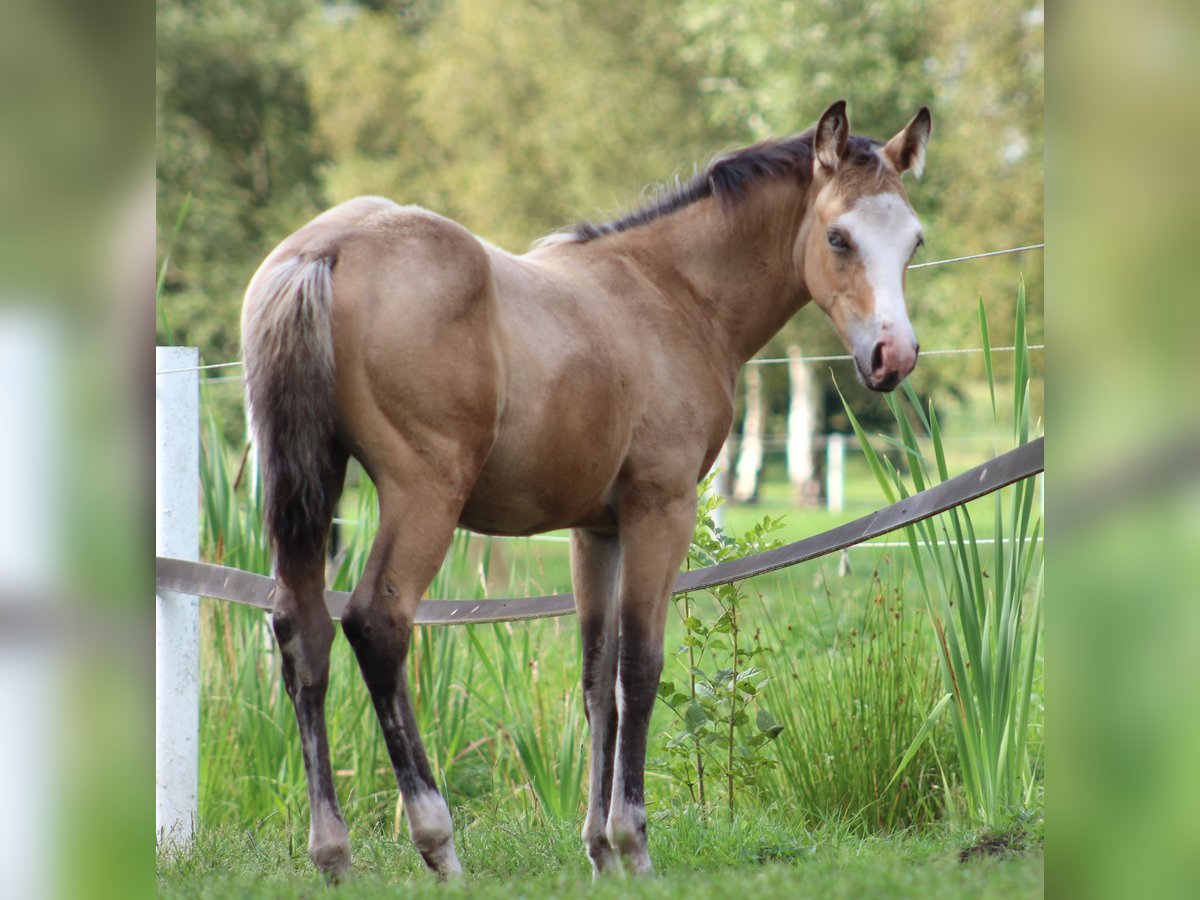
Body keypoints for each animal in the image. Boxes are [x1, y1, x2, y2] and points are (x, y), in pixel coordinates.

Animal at [243, 100, 931, 883]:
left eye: (912, 242)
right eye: (839, 236)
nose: (893, 357)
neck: (673, 293)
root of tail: (326, 250)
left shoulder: (595, 529)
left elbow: (597, 674)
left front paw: (600, 852)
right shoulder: (661, 508)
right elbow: (641, 666)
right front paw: (635, 845)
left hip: (311, 484)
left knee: (303, 631)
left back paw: (332, 854)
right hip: (424, 495)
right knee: (375, 624)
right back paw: (438, 843)